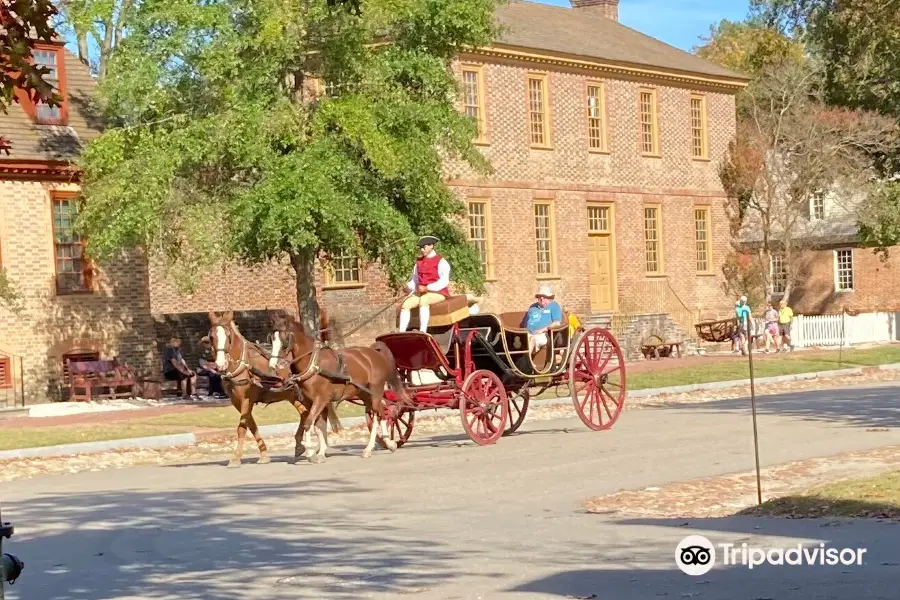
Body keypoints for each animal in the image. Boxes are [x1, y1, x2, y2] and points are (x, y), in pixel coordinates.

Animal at [207, 312, 342, 466]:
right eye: (211, 337)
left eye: (228, 335)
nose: (220, 364)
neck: (242, 365)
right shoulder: (237, 401)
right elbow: (251, 425)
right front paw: (264, 454)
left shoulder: (247, 399)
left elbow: (242, 427)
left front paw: (236, 458)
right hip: (294, 395)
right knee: (305, 414)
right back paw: (301, 446)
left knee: (307, 414)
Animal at [268, 312, 408, 462]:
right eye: (271, 339)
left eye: (284, 339)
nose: (274, 366)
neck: (313, 364)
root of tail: (374, 352)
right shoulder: (311, 401)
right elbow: (318, 425)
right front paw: (321, 452)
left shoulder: (321, 399)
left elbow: (309, 423)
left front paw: (311, 453)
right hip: (363, 393)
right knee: (381, 410)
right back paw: (388, 443)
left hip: (375, 389)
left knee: (377, 414)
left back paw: (370, 448)